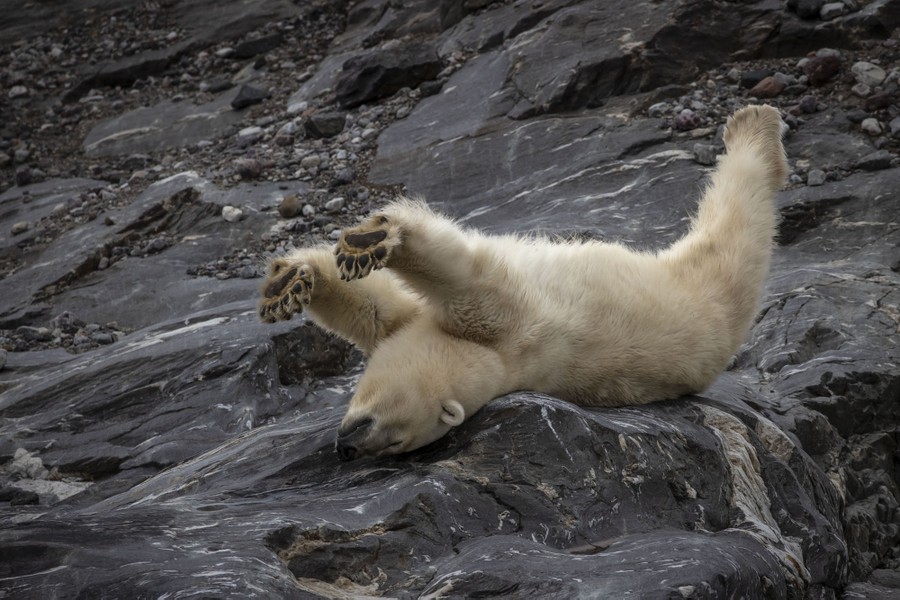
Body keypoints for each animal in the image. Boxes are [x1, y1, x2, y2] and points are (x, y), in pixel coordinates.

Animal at [258, 105, 788, 461]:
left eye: (396, 440)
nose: (347, 444)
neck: (497, 364)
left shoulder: (511, 325)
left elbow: (463, 275)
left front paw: (374, 238)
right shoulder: (432, 325)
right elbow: (375, 310)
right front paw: (290, 284)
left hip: (701, 291)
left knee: (736, 227)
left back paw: (754, 127)